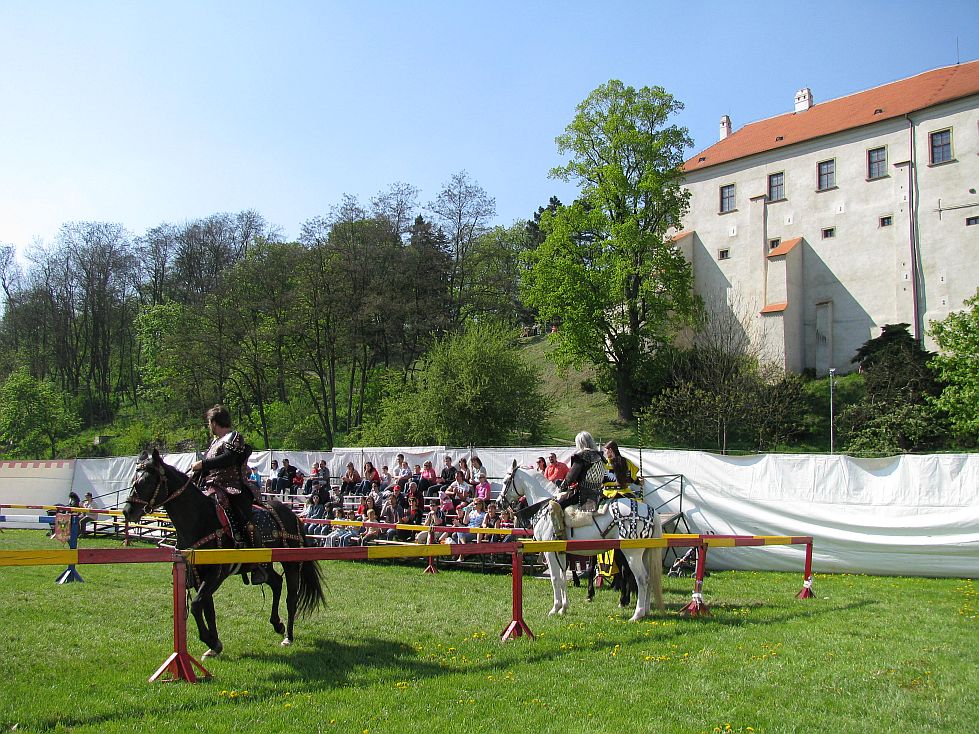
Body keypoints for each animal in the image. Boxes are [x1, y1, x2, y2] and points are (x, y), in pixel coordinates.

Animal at [122, 452, 326, 660]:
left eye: (146, 481)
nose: (127, 511)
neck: (200, 519)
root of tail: (293, 515)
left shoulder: (216, 574)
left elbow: (196, 605)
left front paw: (210, 641)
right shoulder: (199, 575)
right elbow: (207, 608)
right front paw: (214, 645)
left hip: (291, 563)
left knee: (291, 597)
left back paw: (288, 636)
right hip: (263, 564)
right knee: (276, 583)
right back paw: (277, 624)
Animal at [498, 462, 668, 624]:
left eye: (506, 481)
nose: (499, 503)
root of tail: (651, 511)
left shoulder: (550, 552)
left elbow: (555, 578)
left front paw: (554, 608)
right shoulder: (561, 553)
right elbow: (562, 578)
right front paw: (563, 608)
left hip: (632, 554)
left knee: (642, 579)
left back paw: (637, 614)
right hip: (645, 553)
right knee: (649, 579)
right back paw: (645, 611)